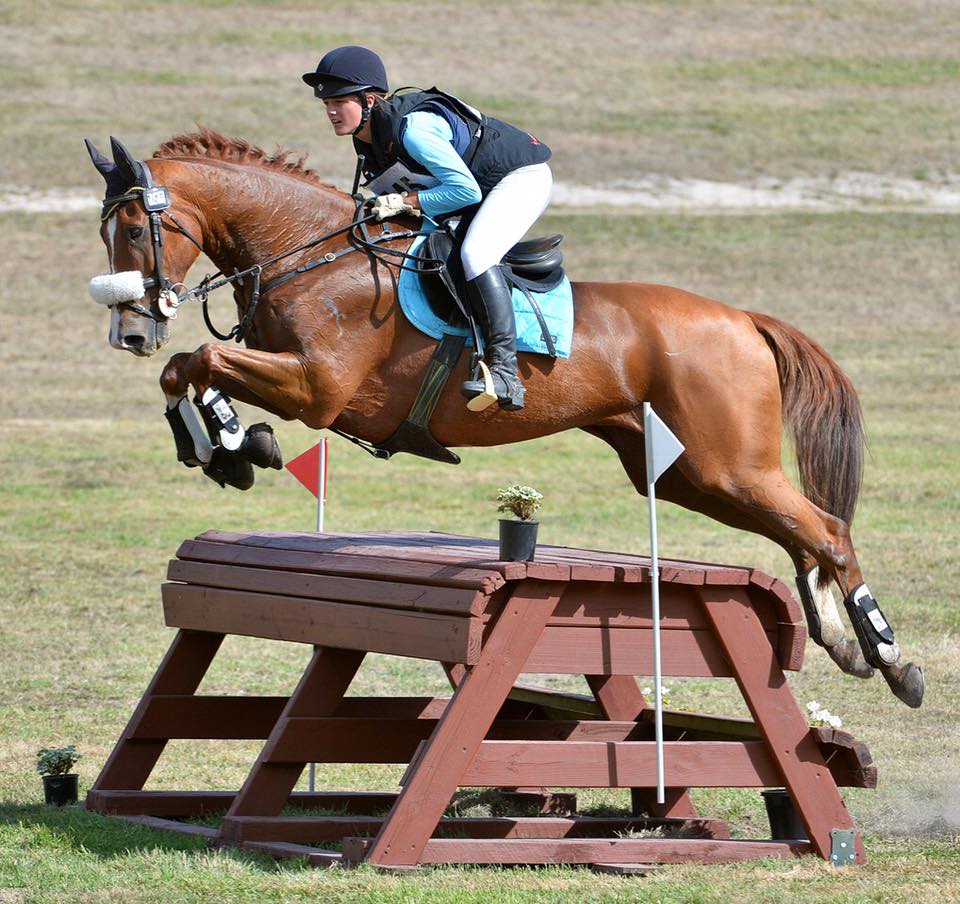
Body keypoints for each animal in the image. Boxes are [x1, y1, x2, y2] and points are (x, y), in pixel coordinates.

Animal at [83, 127, 923, 708]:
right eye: (105, 233)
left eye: (135, 230)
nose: (129, 332)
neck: (308, 255)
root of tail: (742, 319)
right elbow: (185, 369)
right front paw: (229, 444)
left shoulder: (317, 389)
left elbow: (199, 359)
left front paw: (231, 441)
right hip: (689, 472)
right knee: (804, 535)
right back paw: (844, 645)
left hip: (727, 464)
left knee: (827, 532)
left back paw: (893, 662)